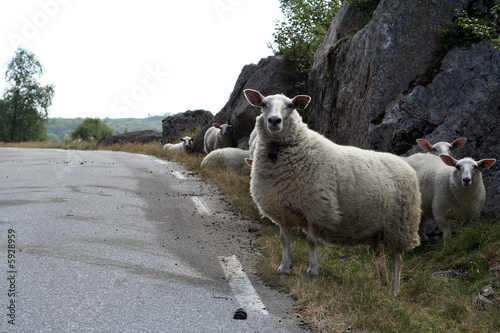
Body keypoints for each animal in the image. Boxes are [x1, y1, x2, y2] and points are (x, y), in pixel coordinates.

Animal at [242, 89, 422, 296]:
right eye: (263, 104)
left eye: (290, 105)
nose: (274, 121)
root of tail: (406, 164)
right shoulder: (283, 210)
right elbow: (284, 240)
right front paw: (284, 267)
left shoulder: (317, 208)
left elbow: (311, 241)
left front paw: (313, 270)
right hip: (377, 228)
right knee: (379, 256)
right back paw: (383, 284)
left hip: (400, 225)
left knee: (397, 259)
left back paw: (394, 289)